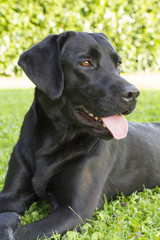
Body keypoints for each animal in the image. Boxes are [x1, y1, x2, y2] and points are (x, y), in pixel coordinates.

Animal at [0, 32, 160, 240]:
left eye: (117, 64)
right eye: (85, 63)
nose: (133, 93)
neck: (54, 139)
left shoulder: (74, 211)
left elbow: (22, 233)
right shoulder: (13, 195)